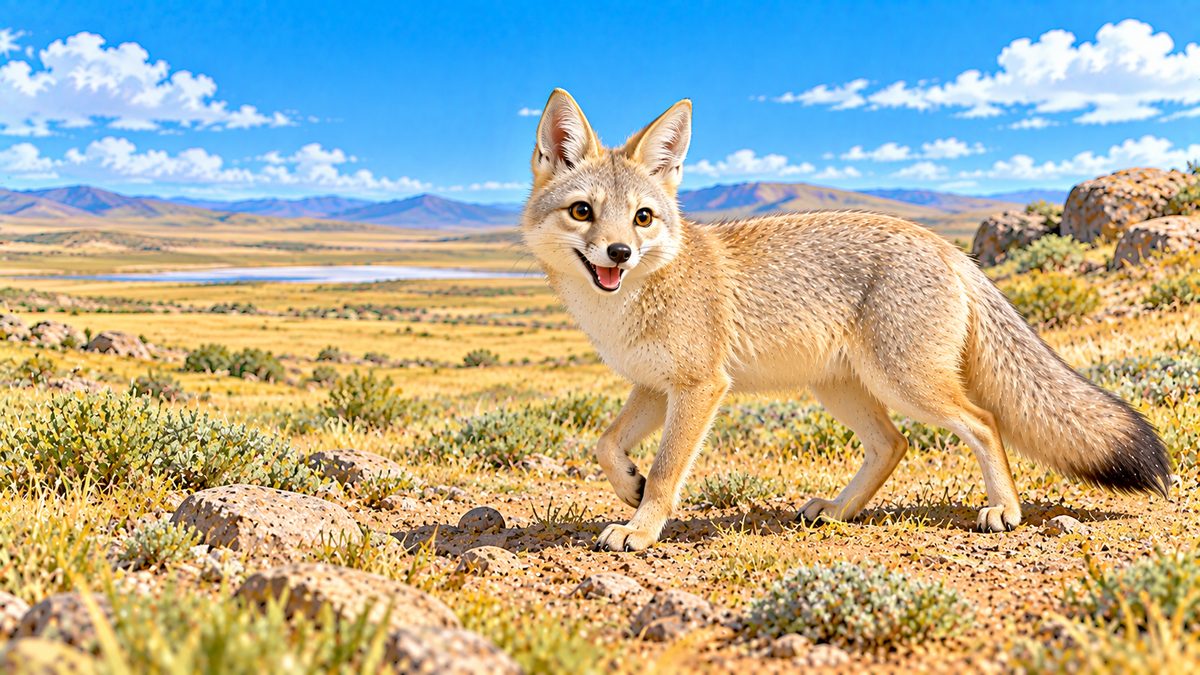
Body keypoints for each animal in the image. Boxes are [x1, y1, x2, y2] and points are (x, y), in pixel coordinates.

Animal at [521, 88, 1171, 552]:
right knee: (894, 444)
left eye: (643, 218)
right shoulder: (656, 386)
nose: (619, 254)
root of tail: (946, 246)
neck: (628, 303)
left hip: (905, 384)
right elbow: (605, 444)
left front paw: (641, 527)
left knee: (983, 422)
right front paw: (627, 486)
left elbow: (665, 470)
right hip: (841, 388)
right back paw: (838, 511)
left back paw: (1003, 509)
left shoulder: (700, 388)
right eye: (583, 212)